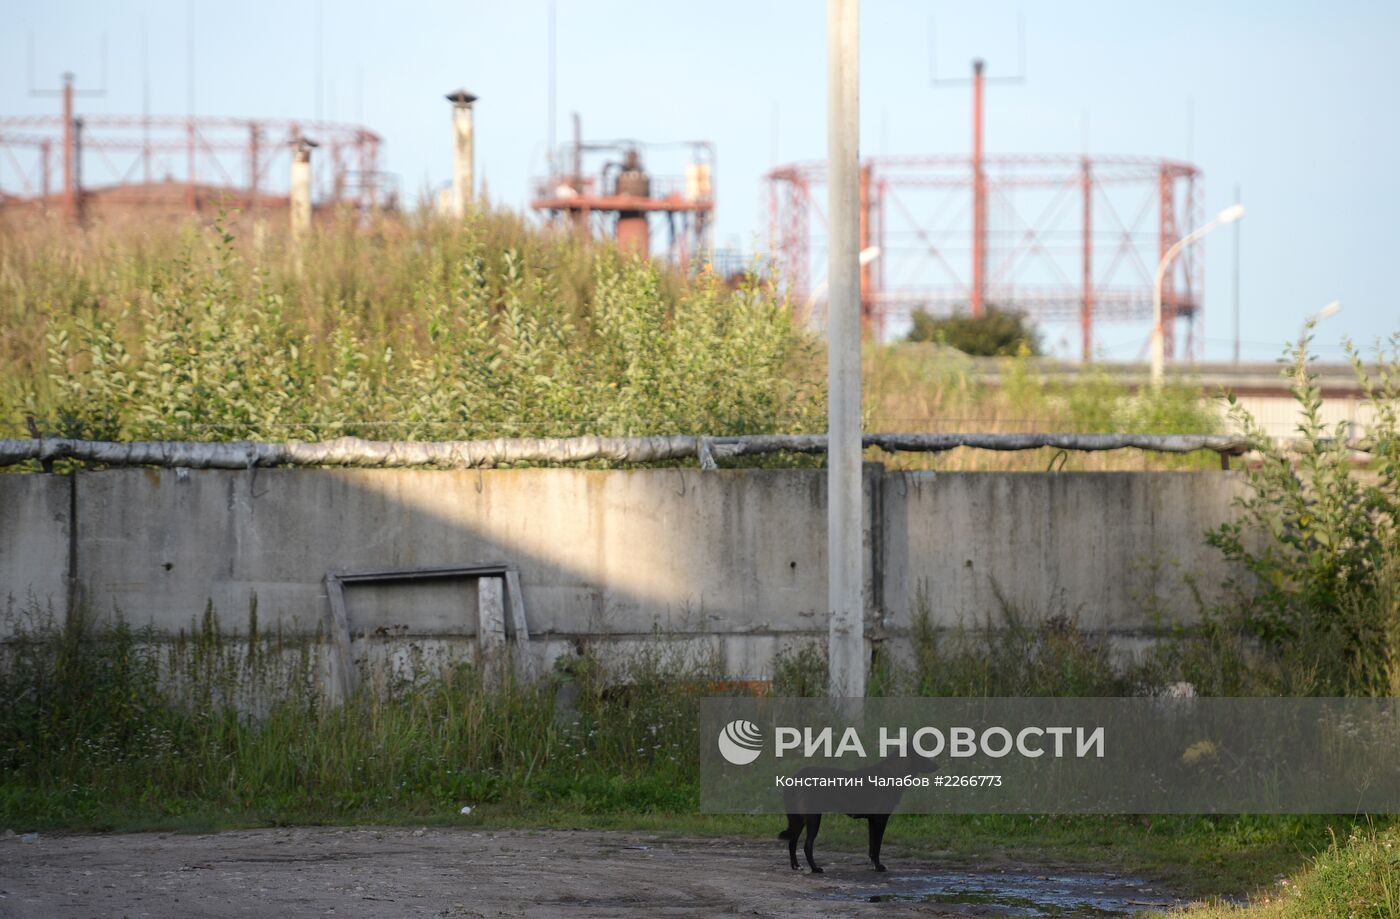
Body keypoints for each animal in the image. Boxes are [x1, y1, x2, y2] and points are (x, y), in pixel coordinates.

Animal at [778, 756, 940, 874]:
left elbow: (872, 848)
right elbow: (877, 847)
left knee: (792, 842)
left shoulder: (872, 821)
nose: (938, 766)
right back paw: (815, 869)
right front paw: (879, 867)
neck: (892, 773)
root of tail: (795, 778)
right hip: (813, 818)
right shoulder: (880, 820)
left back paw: (796, 866)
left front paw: (874, 866)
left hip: (799, 820)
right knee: (807, 845)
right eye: (923, 757)